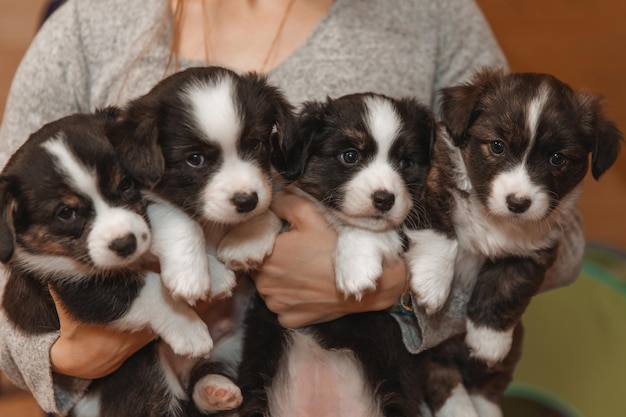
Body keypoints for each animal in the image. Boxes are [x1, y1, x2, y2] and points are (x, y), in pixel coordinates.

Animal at [0, 109, 213, 414]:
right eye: (65, 213)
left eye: (125, 184)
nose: (126, 244)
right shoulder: (76, 289)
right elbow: (147, 288)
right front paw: (189, 328)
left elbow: (169, 219)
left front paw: (208, 273)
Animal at [236, 92, 436, 416]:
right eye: (350, 156)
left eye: (405, 162)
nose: (385, 199)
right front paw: (248, 240)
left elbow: (375, 229)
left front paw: (356, 268)